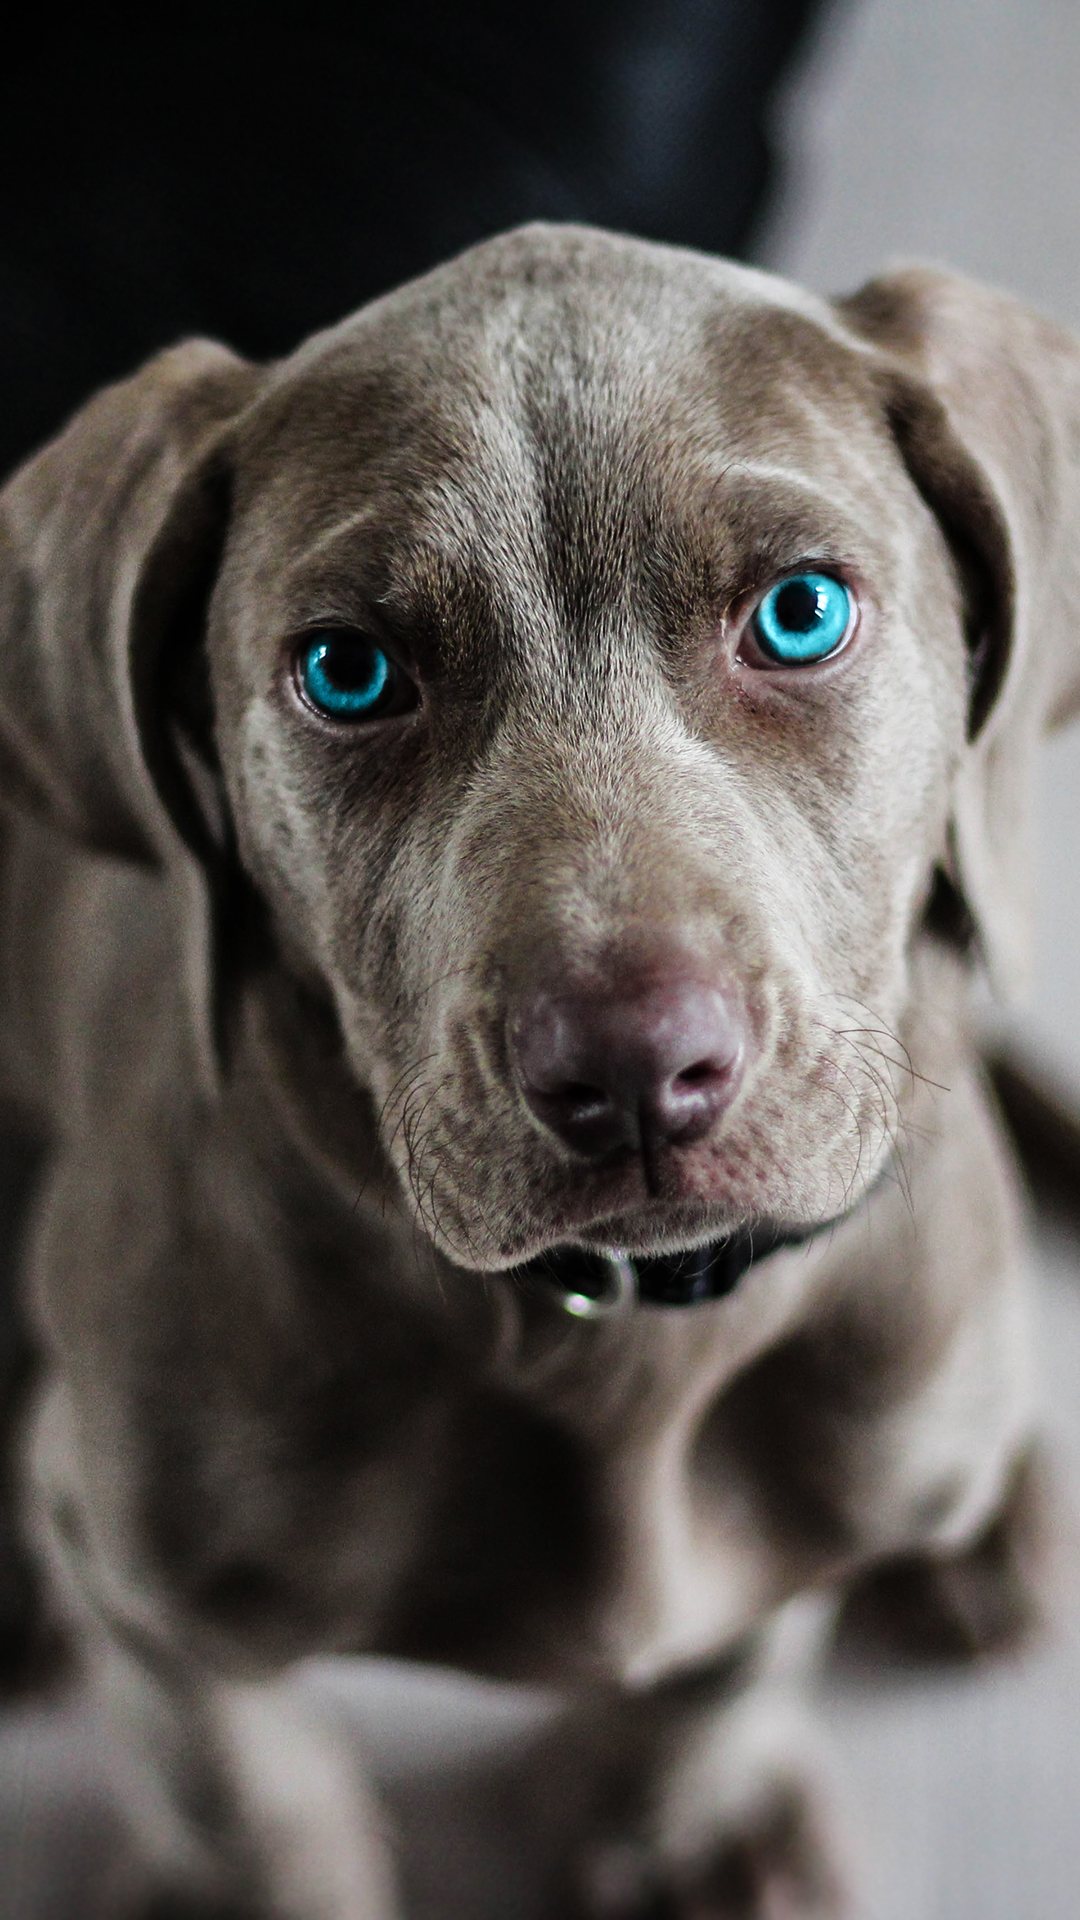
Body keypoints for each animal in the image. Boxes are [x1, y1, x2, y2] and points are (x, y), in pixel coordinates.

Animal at [0, 228, 1060, 1920]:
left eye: (801, 614)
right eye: (347, 672)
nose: (632, 1070)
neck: (613, 1343)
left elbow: (734, 1652)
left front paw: (691, 1825)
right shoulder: (136, 1569)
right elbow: (235, 1780)